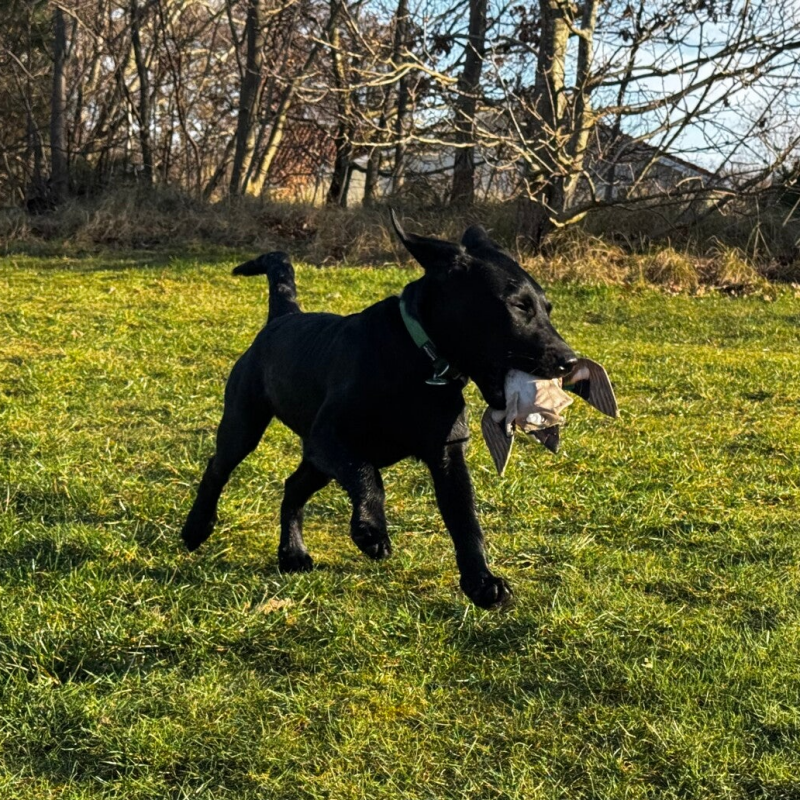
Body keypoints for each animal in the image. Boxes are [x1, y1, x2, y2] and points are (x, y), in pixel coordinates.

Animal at [181, 212, 577, 608]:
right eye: (519, 306)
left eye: (548, 308)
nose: (569, 361)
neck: (420, 360)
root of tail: (282, 317)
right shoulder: (330, 438)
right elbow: (369, 477)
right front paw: (372, 531)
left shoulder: (447, 456)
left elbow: (465, 521)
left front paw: (482, 582)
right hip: (245, 424)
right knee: (217, 469)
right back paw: (196, 528)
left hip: (316, 463)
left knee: (292, 488)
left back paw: (292, 553)